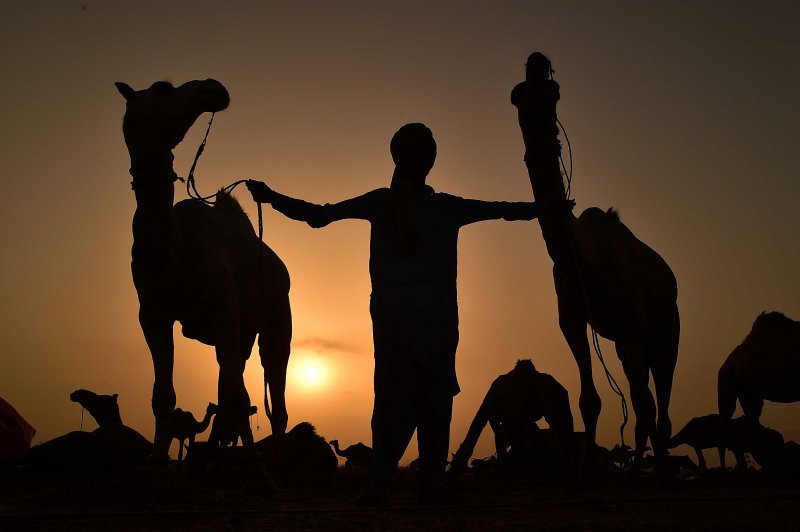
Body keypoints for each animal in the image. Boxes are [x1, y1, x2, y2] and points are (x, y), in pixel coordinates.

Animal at [115, 79, 294, 462]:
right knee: (231, 386)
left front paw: (257, 469)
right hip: (241, 333)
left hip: (278, 318)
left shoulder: (224, 310)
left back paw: (276, 459)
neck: (172, 253)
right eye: (163, 88)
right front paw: (156, 461)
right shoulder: (152, 314)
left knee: (275, 395)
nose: (213, 87)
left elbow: (240, 399)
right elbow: (163, 396)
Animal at [512, 53, 680, 482]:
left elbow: (643, 398)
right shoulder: (572, 320)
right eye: (517, 94)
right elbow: (590, 398)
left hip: (667, 327)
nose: (537, 60)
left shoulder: (635, 321)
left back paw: (657, 466)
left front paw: (661, 472)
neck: (583, 262)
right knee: (640, 394)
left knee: (658, 394)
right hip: (622, 343)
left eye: (554, 90)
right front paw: (587, 469)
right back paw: (636, 468)